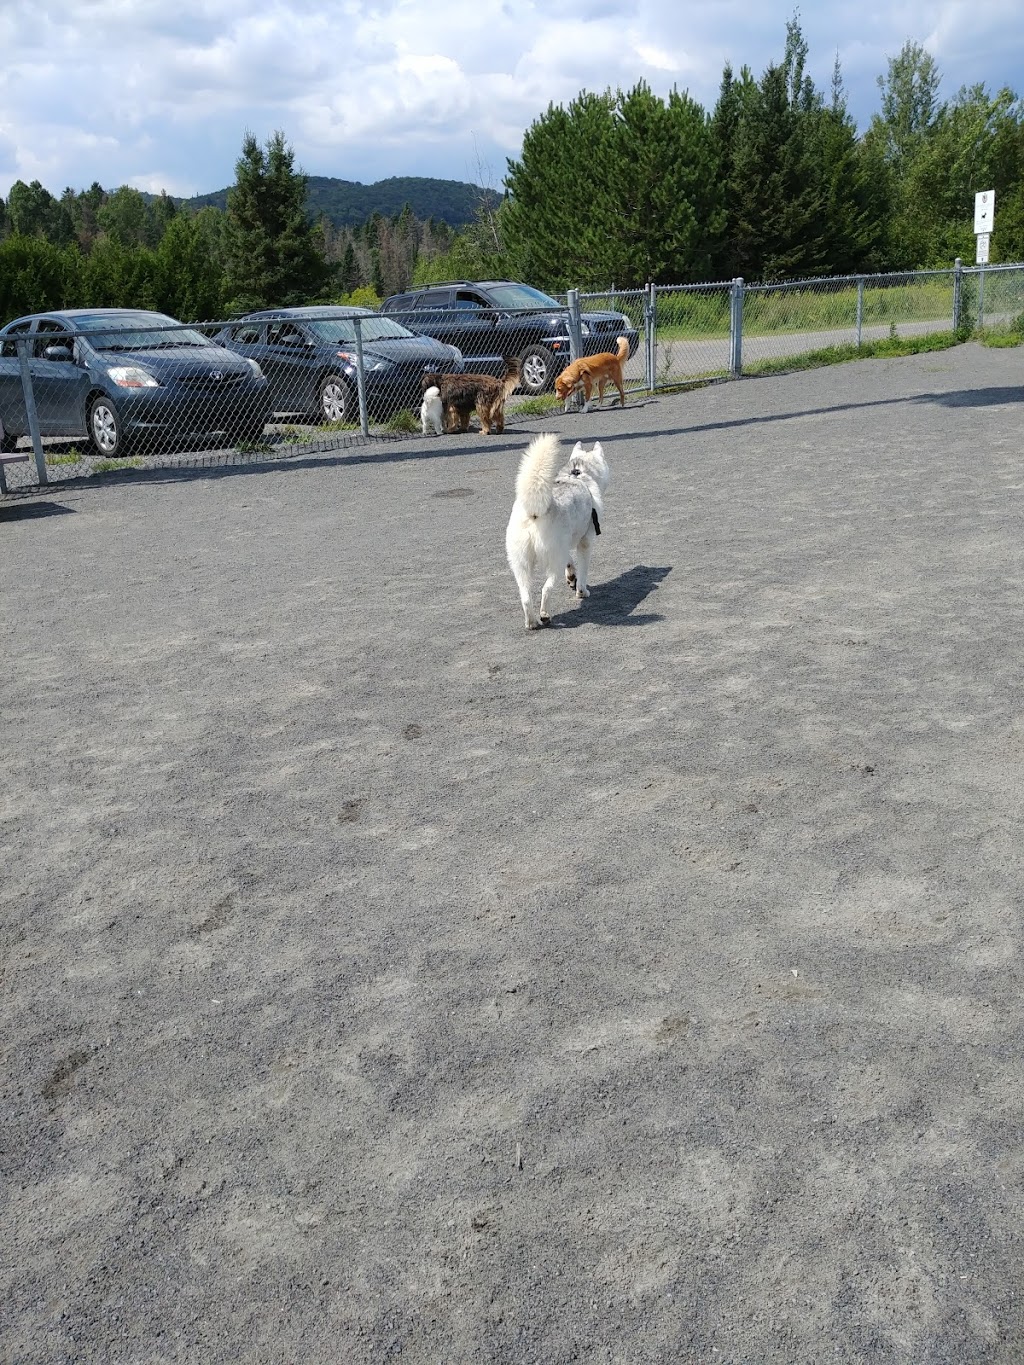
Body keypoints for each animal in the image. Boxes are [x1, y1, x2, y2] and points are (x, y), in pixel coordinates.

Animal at [505, 434, 608, 630]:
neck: (578, 474)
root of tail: (536, 511)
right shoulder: (585, 543)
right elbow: (583, 571)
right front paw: (581, 591)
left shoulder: (564, 547)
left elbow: (570, 562)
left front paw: (572, 577)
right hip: (552, 563)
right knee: (546, 589)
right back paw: (544, 616)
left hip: (521, 564)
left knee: (526, 597)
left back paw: (531, 622)